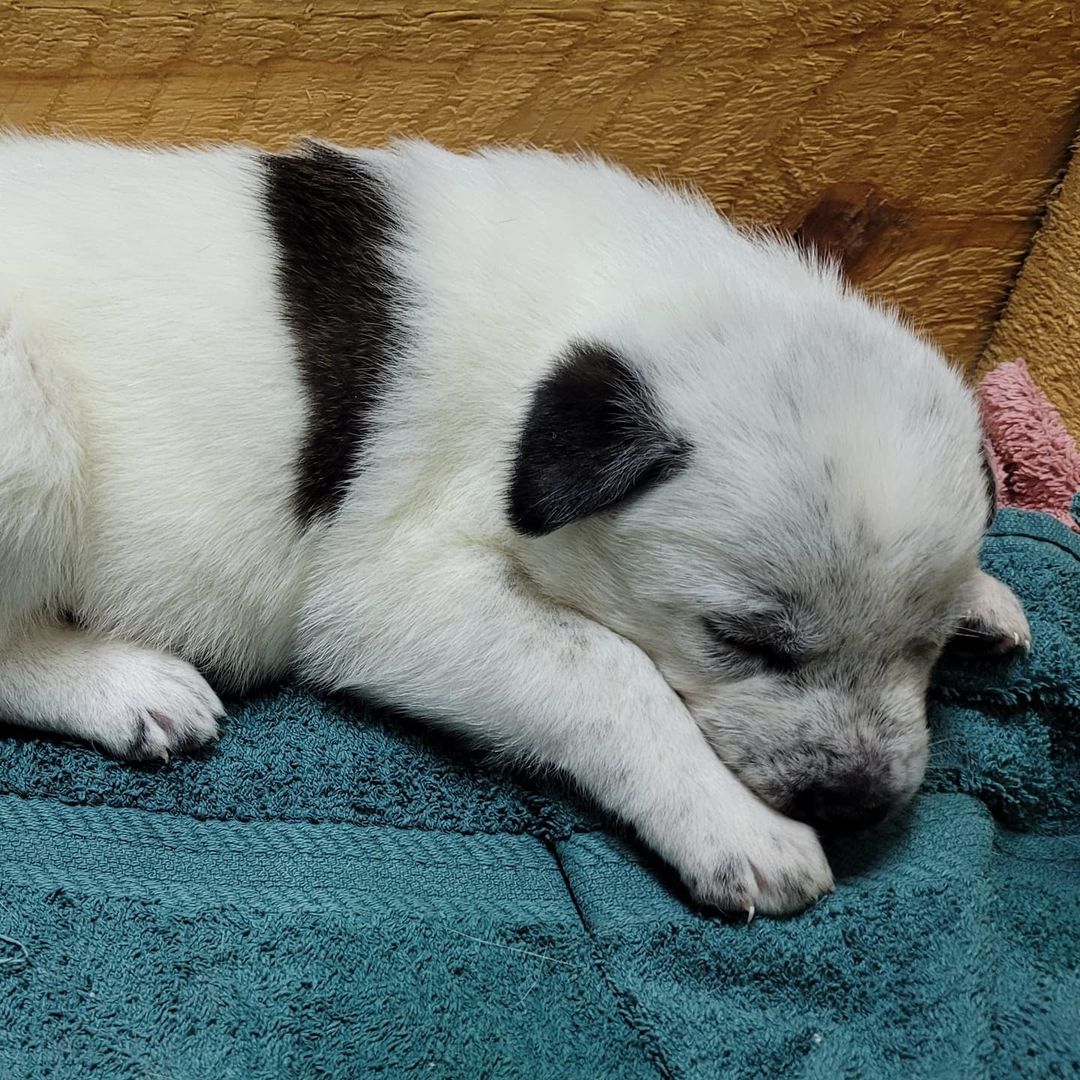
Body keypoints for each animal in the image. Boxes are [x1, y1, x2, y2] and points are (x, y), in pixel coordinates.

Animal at [0, 130, 1028, 915]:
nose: (857, 804)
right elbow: (608, 675)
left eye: (926, 644)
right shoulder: (387, 589)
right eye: (741, 642)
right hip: (30, 427)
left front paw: (986, 597)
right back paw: (126, 687)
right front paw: (736, 826)